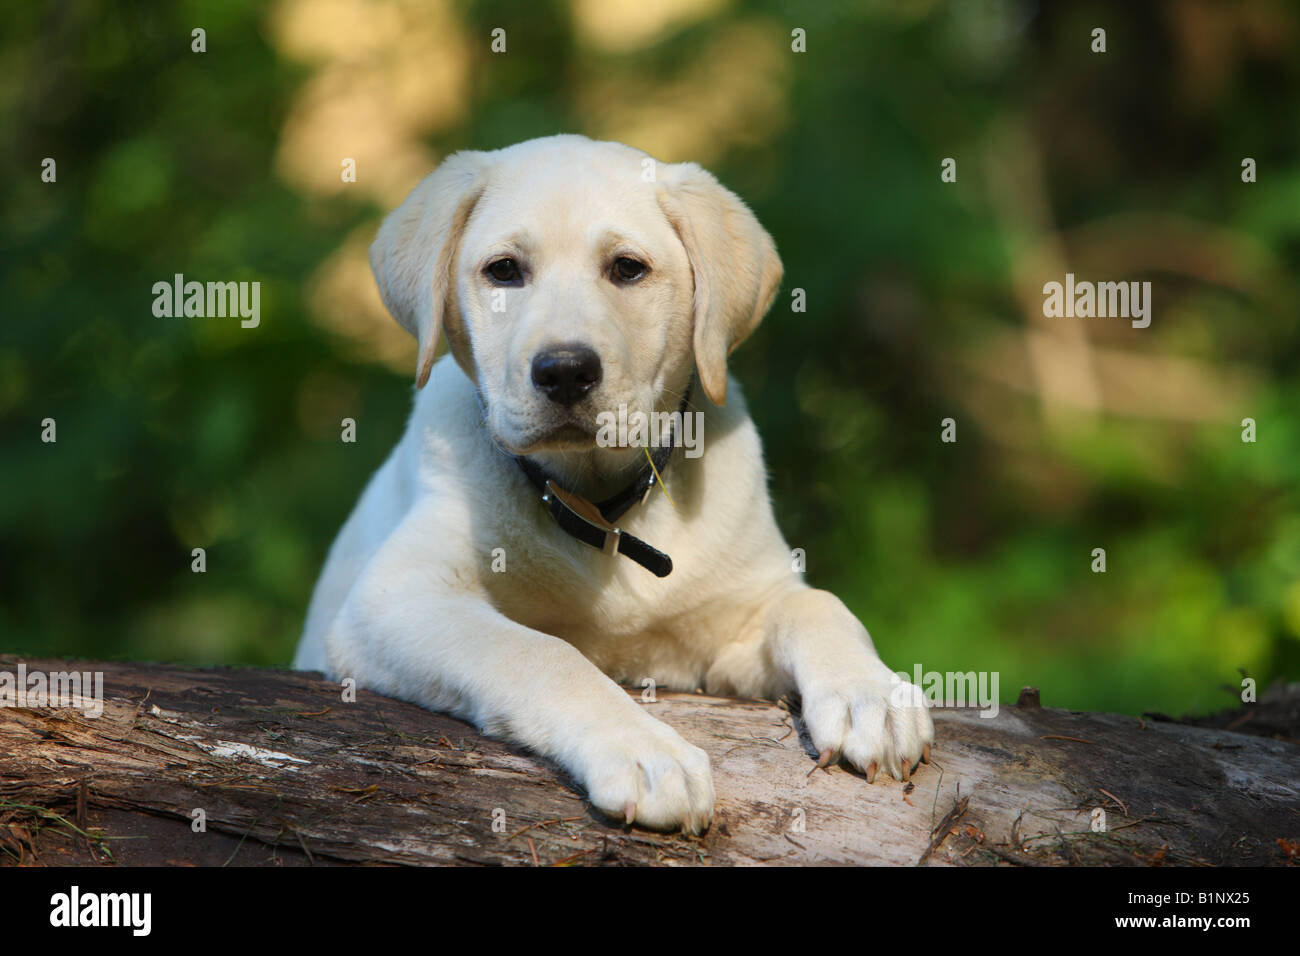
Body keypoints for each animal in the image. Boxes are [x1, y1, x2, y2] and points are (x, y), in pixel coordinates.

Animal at [293, 132, 930, 832]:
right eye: (503, 271)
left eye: (627, 269)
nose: (565, 371)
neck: (598, 506)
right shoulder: (394, 600)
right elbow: (541, 652)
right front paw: (646, 752)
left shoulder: (738, 620)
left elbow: (819, 604)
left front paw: (872, 694)